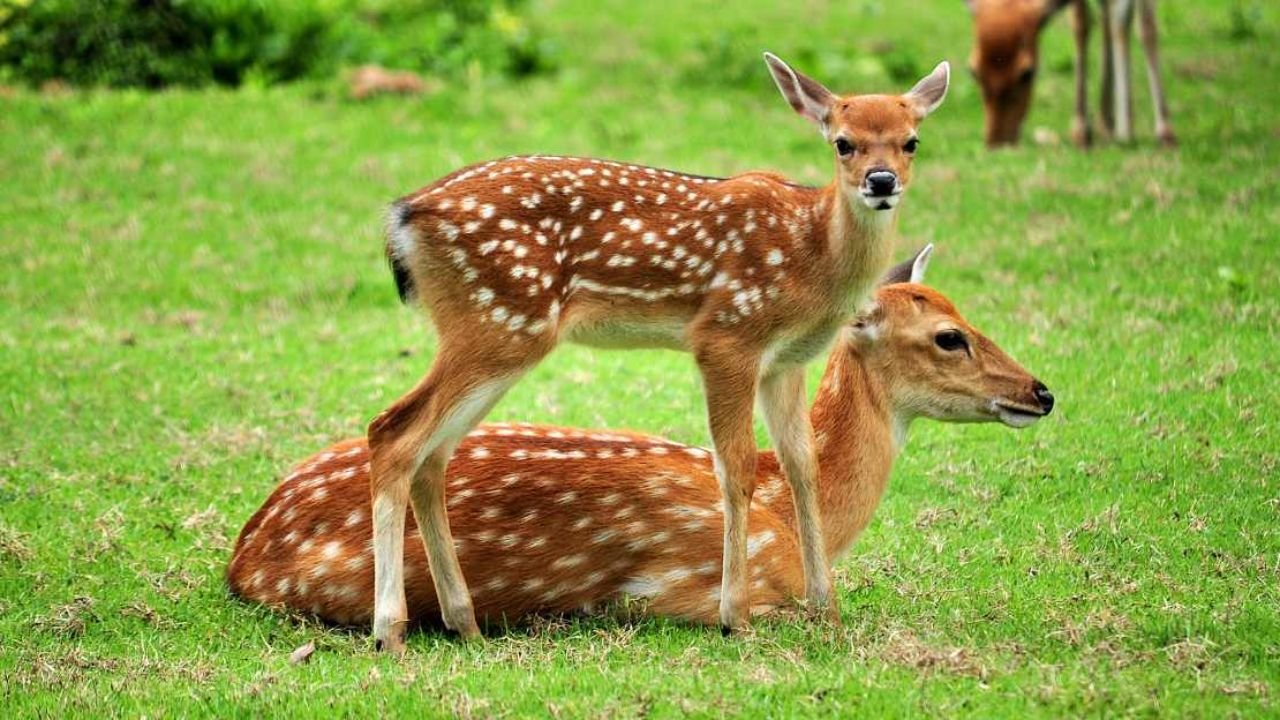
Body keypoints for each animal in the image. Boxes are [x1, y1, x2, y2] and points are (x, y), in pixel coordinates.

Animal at [229, 248, 1056, 633]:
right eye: (949, 337)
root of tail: (243, 554)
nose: (1041, 391)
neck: (789, 513)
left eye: (964, 312)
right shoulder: (692, 590)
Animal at [366, 52, 952, 650]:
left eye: (911, 141)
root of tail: (403, 217)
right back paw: (389, 630)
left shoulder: (786, 362)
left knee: (431, 454)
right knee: (393, 431)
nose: (880, 182)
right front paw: (734, 616)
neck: (812, 253)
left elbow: (801, 466)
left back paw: (463, 623)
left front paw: (826, 612)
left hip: (492, 328)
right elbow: (736, 467)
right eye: (842, 142)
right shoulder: (727, 334)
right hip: (498, 319)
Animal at [964, 0, 1175, 147]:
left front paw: (1160, 131)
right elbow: (1081, 23)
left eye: (1027, 73)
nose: (997, 142)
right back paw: (1105, 121)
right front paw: (1080, 130)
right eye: (973, 71)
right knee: (1105, 15)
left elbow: (1139, 23)